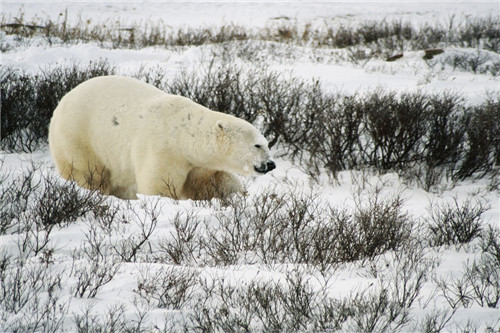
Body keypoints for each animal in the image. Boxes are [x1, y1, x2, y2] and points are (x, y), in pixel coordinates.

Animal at [48, 76, 276, 200]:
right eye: (257, 145)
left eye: (267, 143)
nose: (271, 164)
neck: (184, 135)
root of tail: (61, 103)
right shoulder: (162, 150)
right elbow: (158, 185)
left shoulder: (197, 163)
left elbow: (212, 182)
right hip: (78, 138)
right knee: (88, 172)